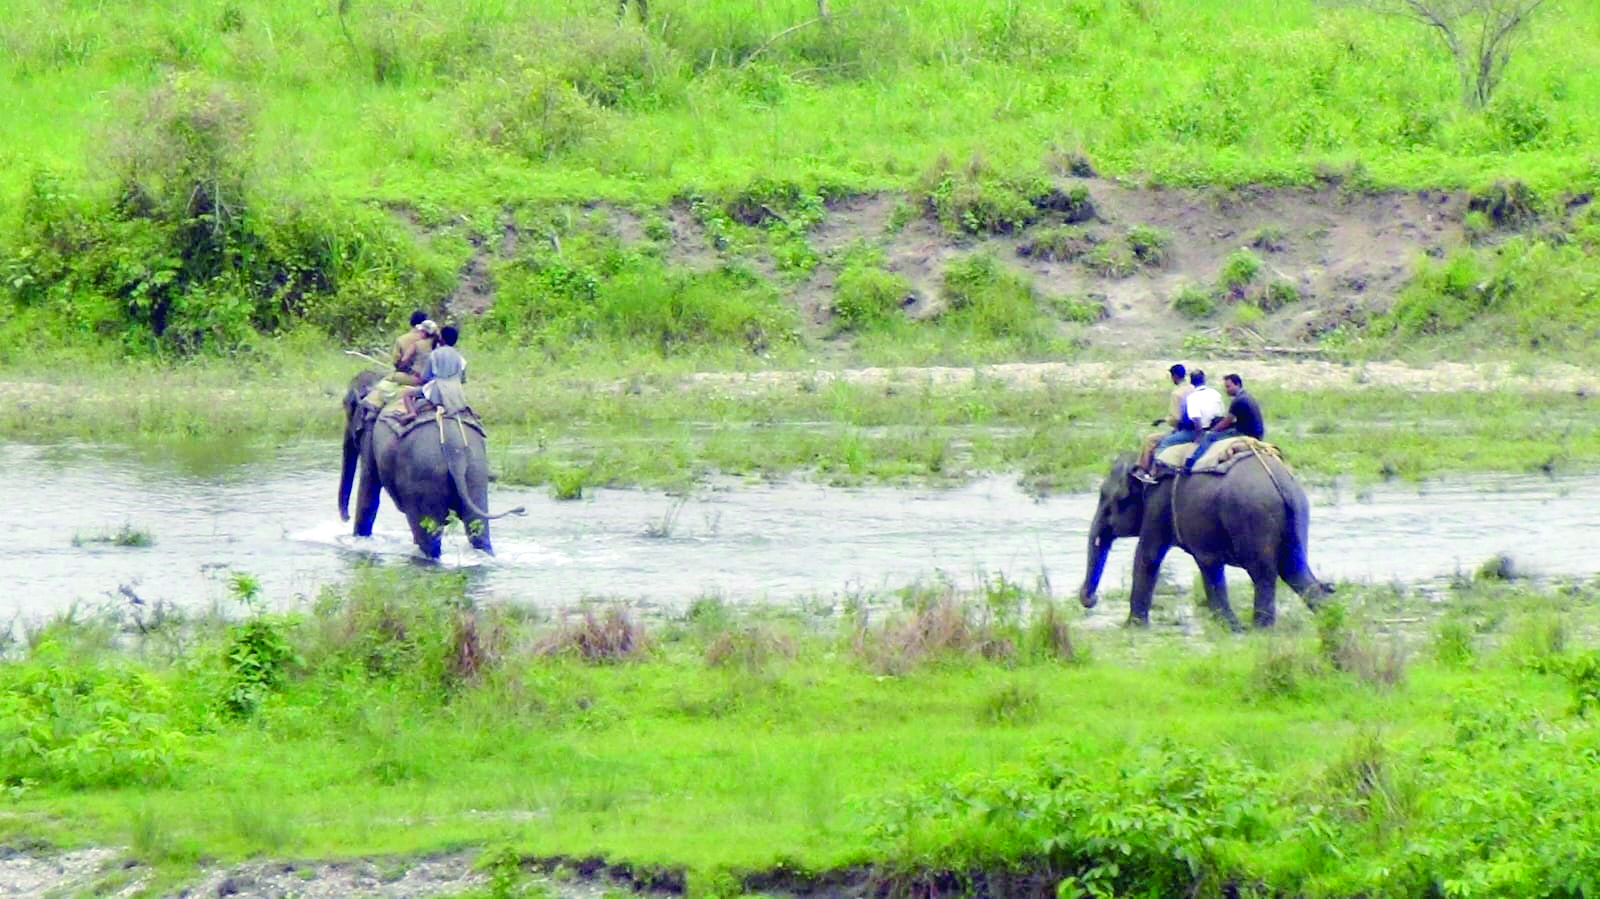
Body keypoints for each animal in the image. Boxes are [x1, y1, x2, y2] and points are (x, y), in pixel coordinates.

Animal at [337, 370, 523, 558]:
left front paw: (358, 541)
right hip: (475, 470)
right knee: (478, 529)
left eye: (345, 405)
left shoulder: (370, 432)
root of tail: (455, 449)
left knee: (428, 536)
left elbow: (368, 489)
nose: (346, 518)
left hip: (424, 476)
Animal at [1078, 450, 1331, 630]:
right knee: (1295, 571)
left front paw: (1132, 627)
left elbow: (1148, 556)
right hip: (1296, 515)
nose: (1092, 599)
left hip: (1252, 517)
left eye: (1107, 500)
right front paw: (1229, 626)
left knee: (1263, 575)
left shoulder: (1158, 503)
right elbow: (1208, 564)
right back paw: (1327, 618)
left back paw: (1260, 629)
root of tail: (1280, 483)